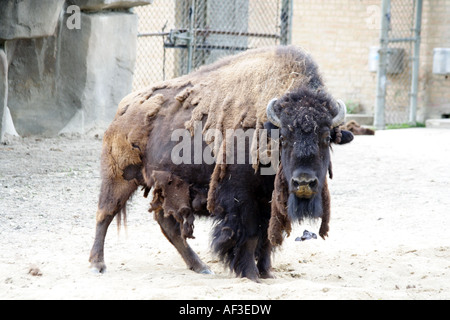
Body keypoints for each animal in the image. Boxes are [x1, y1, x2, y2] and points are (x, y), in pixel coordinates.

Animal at [88, 45, 354, 282]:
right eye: (284, 138)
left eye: (326, 138)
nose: (304, 182)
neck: (269, 127)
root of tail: (123, 110)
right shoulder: (243, 199)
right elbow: (250, 236)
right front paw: (250, 275)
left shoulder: (267, 202)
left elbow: (266, 238)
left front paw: (268, 273)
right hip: (120, 178)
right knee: (105, 213)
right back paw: (97, 265)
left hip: (169, 187)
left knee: (167, 224)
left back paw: (201, 267)